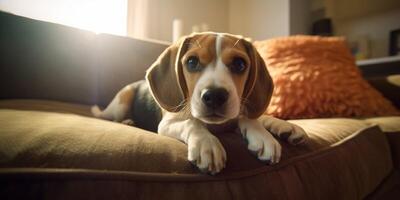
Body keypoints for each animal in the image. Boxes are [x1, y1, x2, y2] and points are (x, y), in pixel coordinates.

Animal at [92, 32, 308, 174]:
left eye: (239, 64)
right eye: (192, 62)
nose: (215, 96)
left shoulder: (236, 112)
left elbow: (251, 117)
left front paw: (273, 129)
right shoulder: (168, 123)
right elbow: (192, 122)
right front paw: (207, 144)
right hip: (122, 100)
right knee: (112, 118)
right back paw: (127, 121)